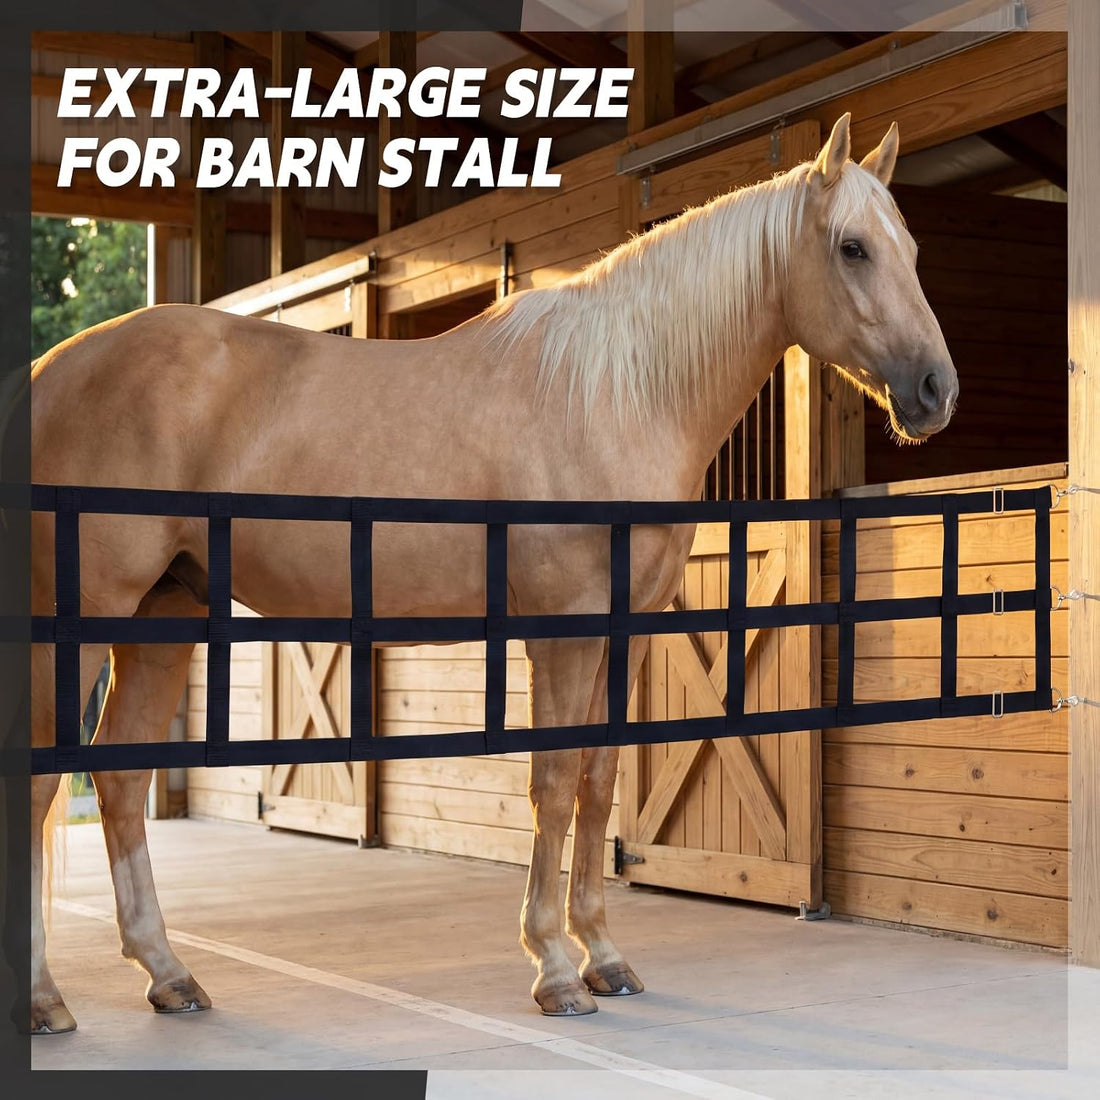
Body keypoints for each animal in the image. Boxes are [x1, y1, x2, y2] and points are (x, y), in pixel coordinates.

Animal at [28, 112, 957, 1031]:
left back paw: (167, 974)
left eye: (912, 246)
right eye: (851, 248)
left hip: (161, 616)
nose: (935, 390)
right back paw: (45, 999)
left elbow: (599, 780)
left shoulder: (626, 634)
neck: (615, 395)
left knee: (117, 778)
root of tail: (47, 373)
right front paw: (554, 970)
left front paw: (604, 957)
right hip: (82, 624)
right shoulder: (563, 629)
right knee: (40, 781)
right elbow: (553, 781)